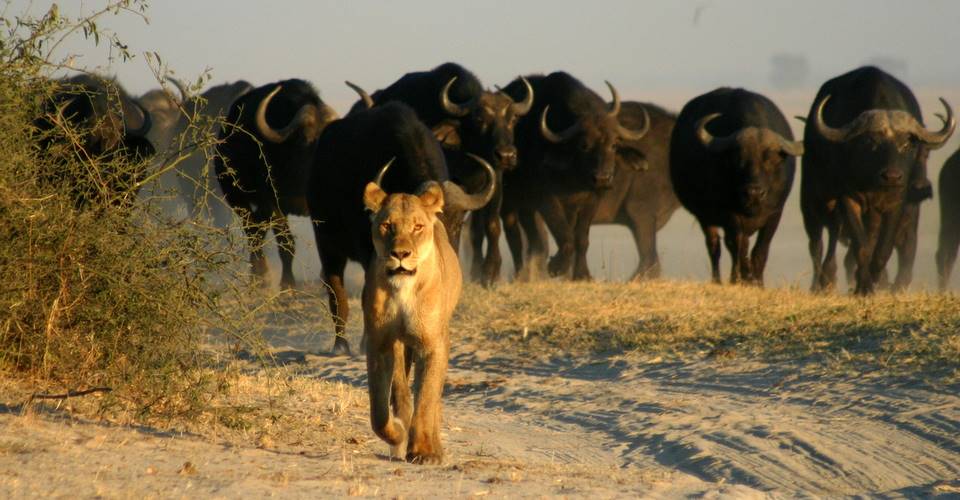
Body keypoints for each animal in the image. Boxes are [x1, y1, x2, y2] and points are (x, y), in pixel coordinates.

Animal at [215, 79, 338, 288]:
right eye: (305, 139)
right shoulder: (273, 203)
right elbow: (286, 242)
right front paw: (288, 283)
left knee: (258, 228)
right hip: (235, 196)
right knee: (252, 230)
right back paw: (261, 276)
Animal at [361, 174, 462, 465]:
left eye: (417, 227)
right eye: (386, 225)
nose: (400, 254)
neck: (403, 288)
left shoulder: (433, 343)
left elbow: (427, 399)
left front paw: (424, 451)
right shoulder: (379, 342)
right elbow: (379, 410)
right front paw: (396, 434)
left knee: (432, 398)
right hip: (400, 345)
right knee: (401, 393)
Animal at [671, 88, 801, 285]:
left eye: (771, 159)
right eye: (739, 158)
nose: (754, 192)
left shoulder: (775, 214)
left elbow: (760, 250)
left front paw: (758, 282)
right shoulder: (730, 215)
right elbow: (737, 247)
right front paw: (741, 278)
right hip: (704, 216)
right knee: (715, 246)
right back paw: (719, 279)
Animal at [801, 66, 954, 294]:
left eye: (907, 144)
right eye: (871, 141)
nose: (892, 176)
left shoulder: (897, 203)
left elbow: (882, 250)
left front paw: (874, 279)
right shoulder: (848, 200)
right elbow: (862, 247)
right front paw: (864, 287)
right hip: (813, 202)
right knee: (819, 243)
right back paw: (822, 282)